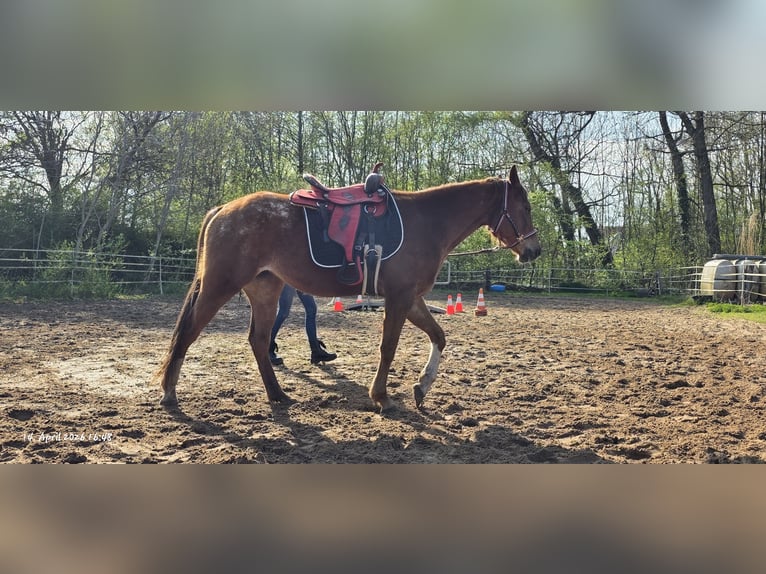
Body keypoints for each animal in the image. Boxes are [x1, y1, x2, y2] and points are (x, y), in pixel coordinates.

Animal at [155, 165, 541, 412]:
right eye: (524, 206)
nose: (533, 250)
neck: (427, 221)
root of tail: (224, 209)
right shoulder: (399, 298)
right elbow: (388, 348)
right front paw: (382, 397)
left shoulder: (412, 298)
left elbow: (439, 336)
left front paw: (421, 387)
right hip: (218, 287)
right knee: (188, 332)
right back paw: (169, 393)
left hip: (265, 291)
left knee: (259, 340)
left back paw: (278, 395)